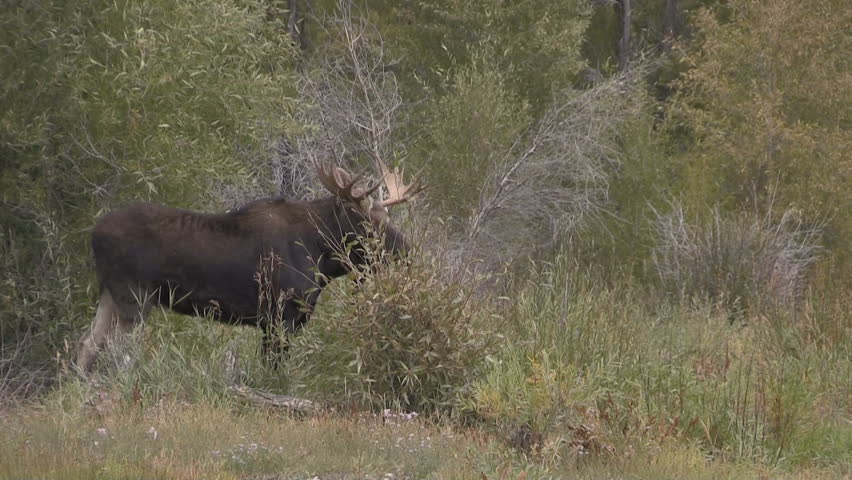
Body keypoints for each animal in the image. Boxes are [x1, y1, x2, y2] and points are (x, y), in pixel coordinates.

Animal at [75, 161, 422, 372]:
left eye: (386, 217)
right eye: (365, 222)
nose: (406, 250)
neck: (321, 257)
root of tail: (93, 234)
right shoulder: (279, 316)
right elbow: (274, 370)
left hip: (110, 295)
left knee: (89, 345)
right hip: (135, 297)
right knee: (116, 351)